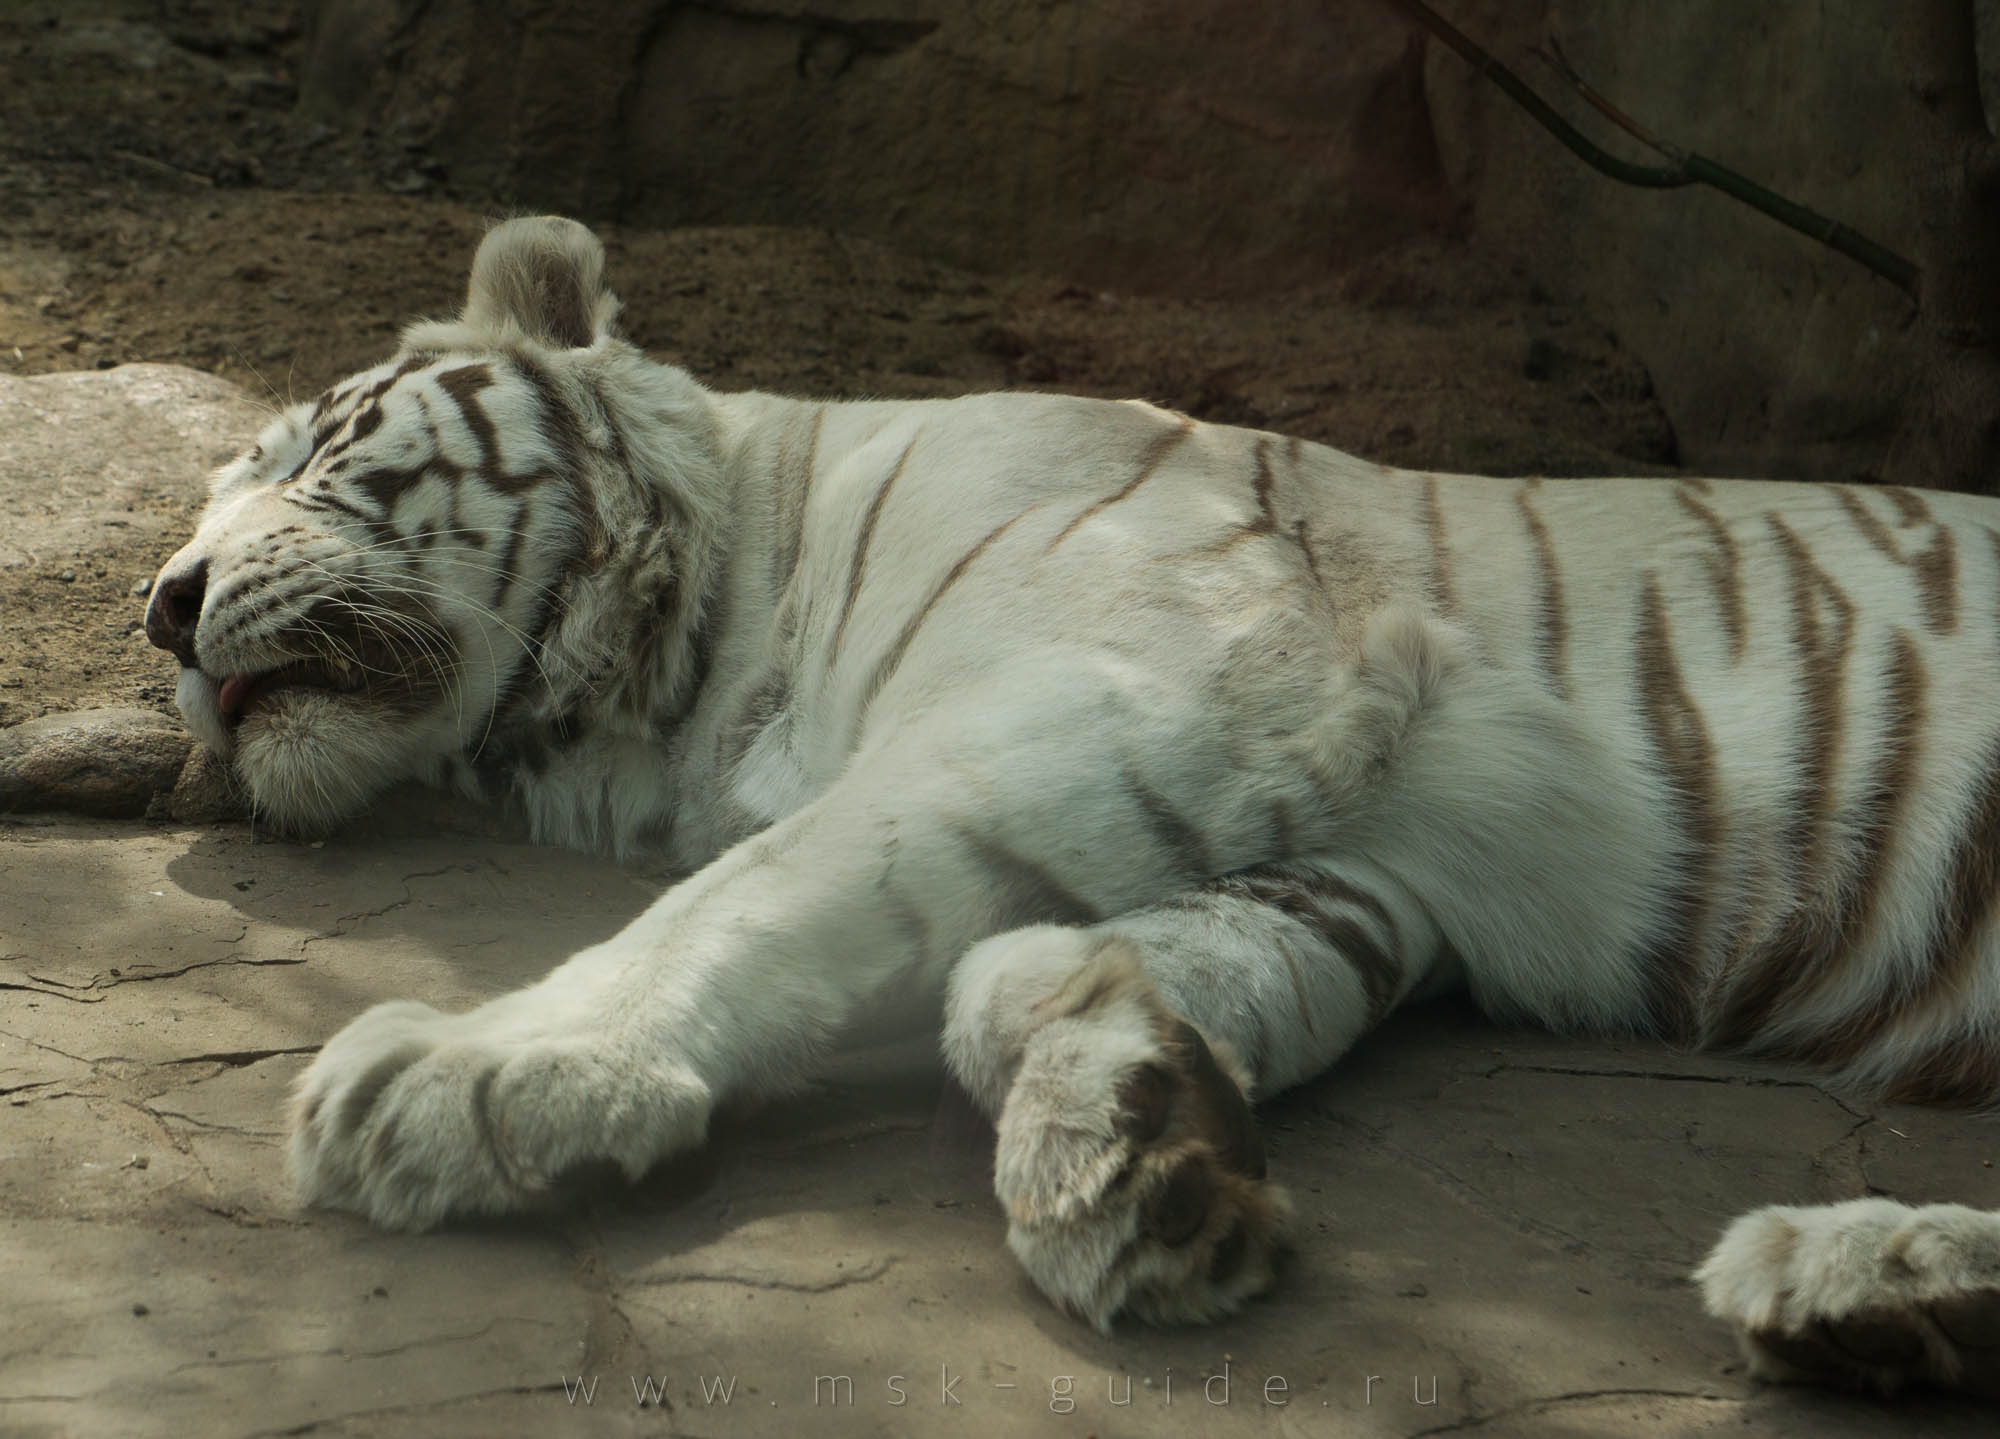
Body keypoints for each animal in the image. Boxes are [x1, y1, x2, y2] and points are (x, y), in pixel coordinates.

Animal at [142, 216, 2000, 1398]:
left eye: (310, 455)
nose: (160, 607)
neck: (684, 676)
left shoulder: (1172, 661)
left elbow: (785, 880)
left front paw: (480, 1065)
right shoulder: (1369, 857)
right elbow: (1034, 968)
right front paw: (1150, 1134)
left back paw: (1853, 1271)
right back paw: (1873, 1290)